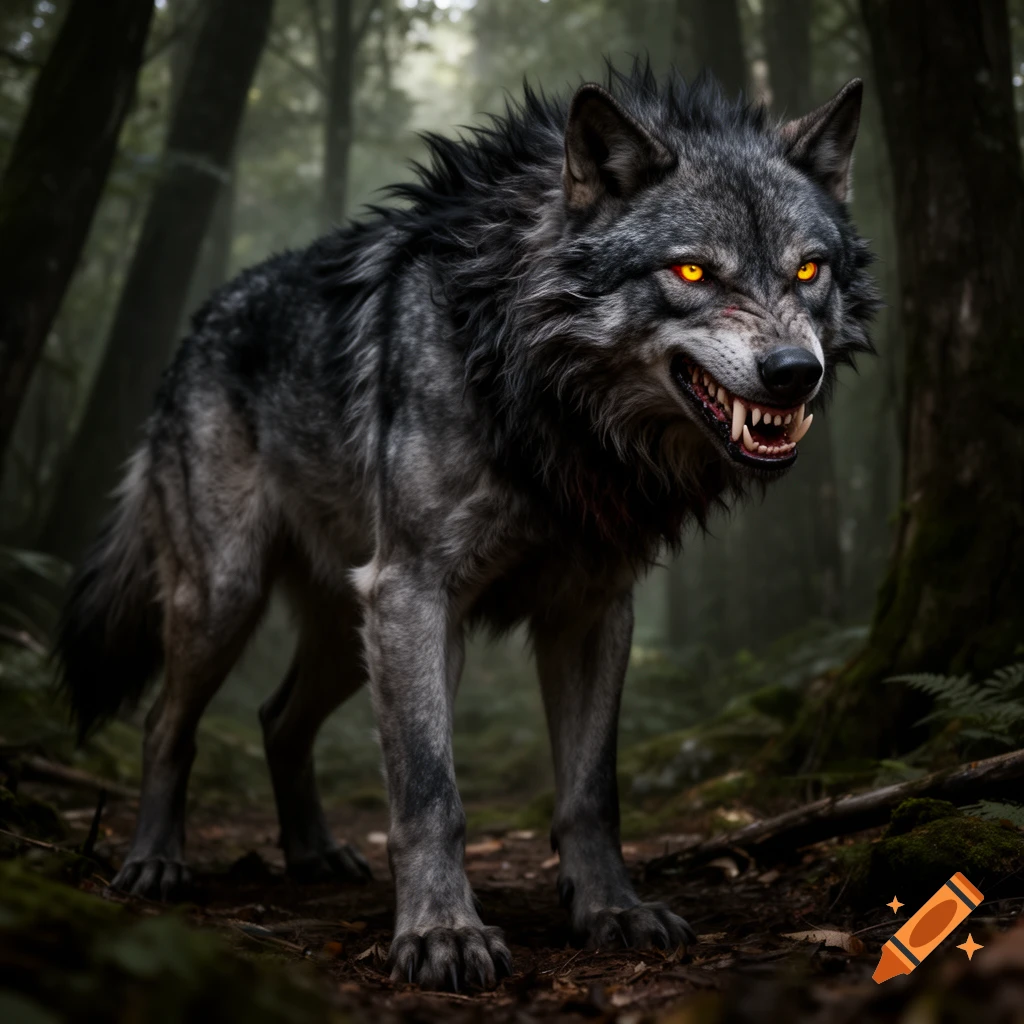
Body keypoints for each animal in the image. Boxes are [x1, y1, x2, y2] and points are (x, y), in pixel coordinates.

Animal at [56, 63, 877, 990]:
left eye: (808, 269)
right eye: (694, 271)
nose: (795, 373)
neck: (551, 409)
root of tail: (198, 322)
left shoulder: (592, 613)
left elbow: (591, 793)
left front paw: (611, 910)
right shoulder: (417, 594)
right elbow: (429, 792)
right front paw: (442, 933)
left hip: (347, 632)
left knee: (276, 719)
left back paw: (313, 856)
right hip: (232, 601)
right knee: (166, 724)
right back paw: (155, 862)